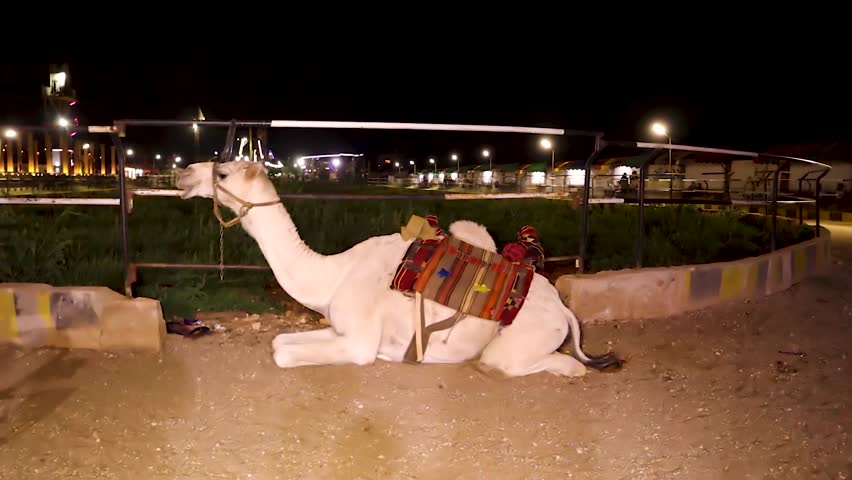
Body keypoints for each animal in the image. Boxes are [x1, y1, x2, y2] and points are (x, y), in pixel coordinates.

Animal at [175, 161, 619, 377]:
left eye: (222, 172)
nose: (182, 173)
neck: (333, 276)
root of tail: (563, 310)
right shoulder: (339, 328)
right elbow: (280, 342)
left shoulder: (358, 342)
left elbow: (284, 354)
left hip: (519, 343)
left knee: (550, 365)